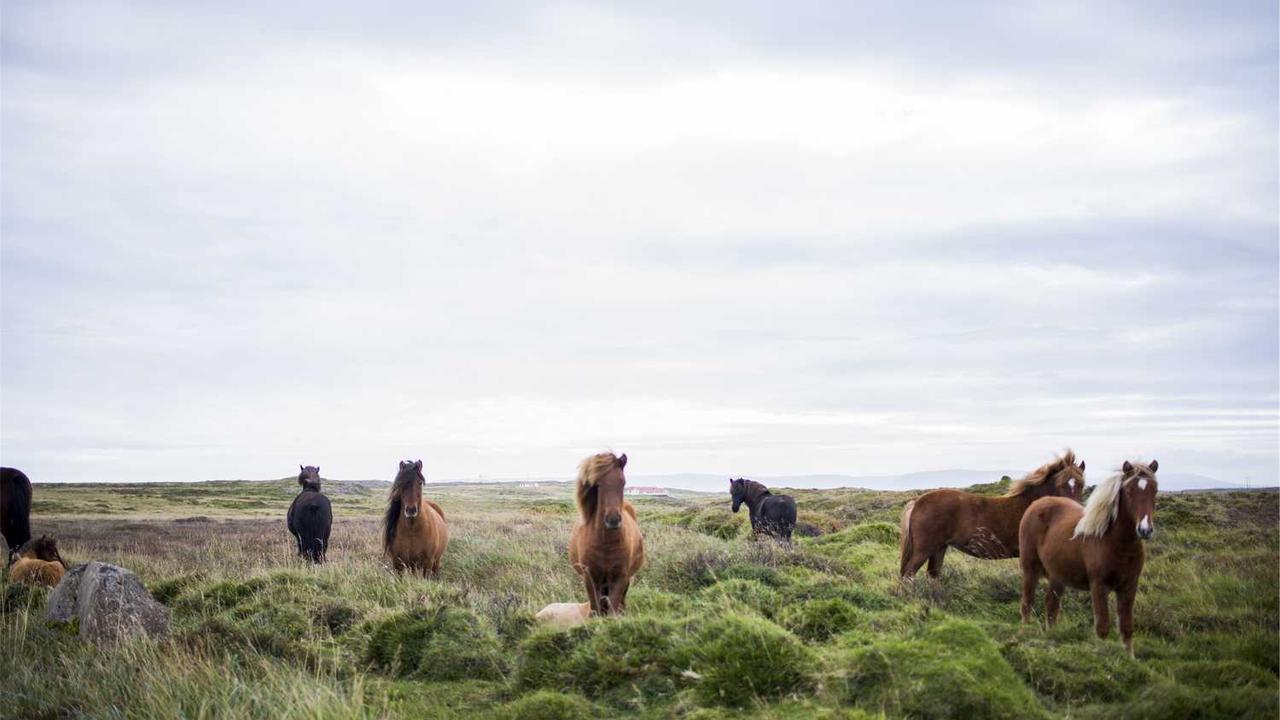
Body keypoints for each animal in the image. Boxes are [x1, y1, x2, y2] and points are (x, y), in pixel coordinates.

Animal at [570, 450, 645, 614]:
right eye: (598, 484)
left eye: (623, 483)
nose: (613, 520)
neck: (606, 544)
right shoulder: (590, 578)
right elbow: (596, 610)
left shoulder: (620, 578)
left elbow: (612, 610)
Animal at [896, 448, 1085, 576]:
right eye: (1061, 485)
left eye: (1081, 484)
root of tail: (917, 502)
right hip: (924, 549)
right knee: (908, 574)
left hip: (939, 548)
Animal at [1018, 458, 1162, 655]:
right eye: (1129, 491)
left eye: (1154, 490)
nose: (1145, 530)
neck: (1118, 545)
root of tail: (1037, 504)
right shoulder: (1099, 586)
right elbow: (1102, 627)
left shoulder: (1129, 587)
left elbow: (1126, 627)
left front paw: (1129, 658)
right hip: (1030, 569)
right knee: (1027, 603)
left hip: (1058, 576)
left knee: (1051, 605)